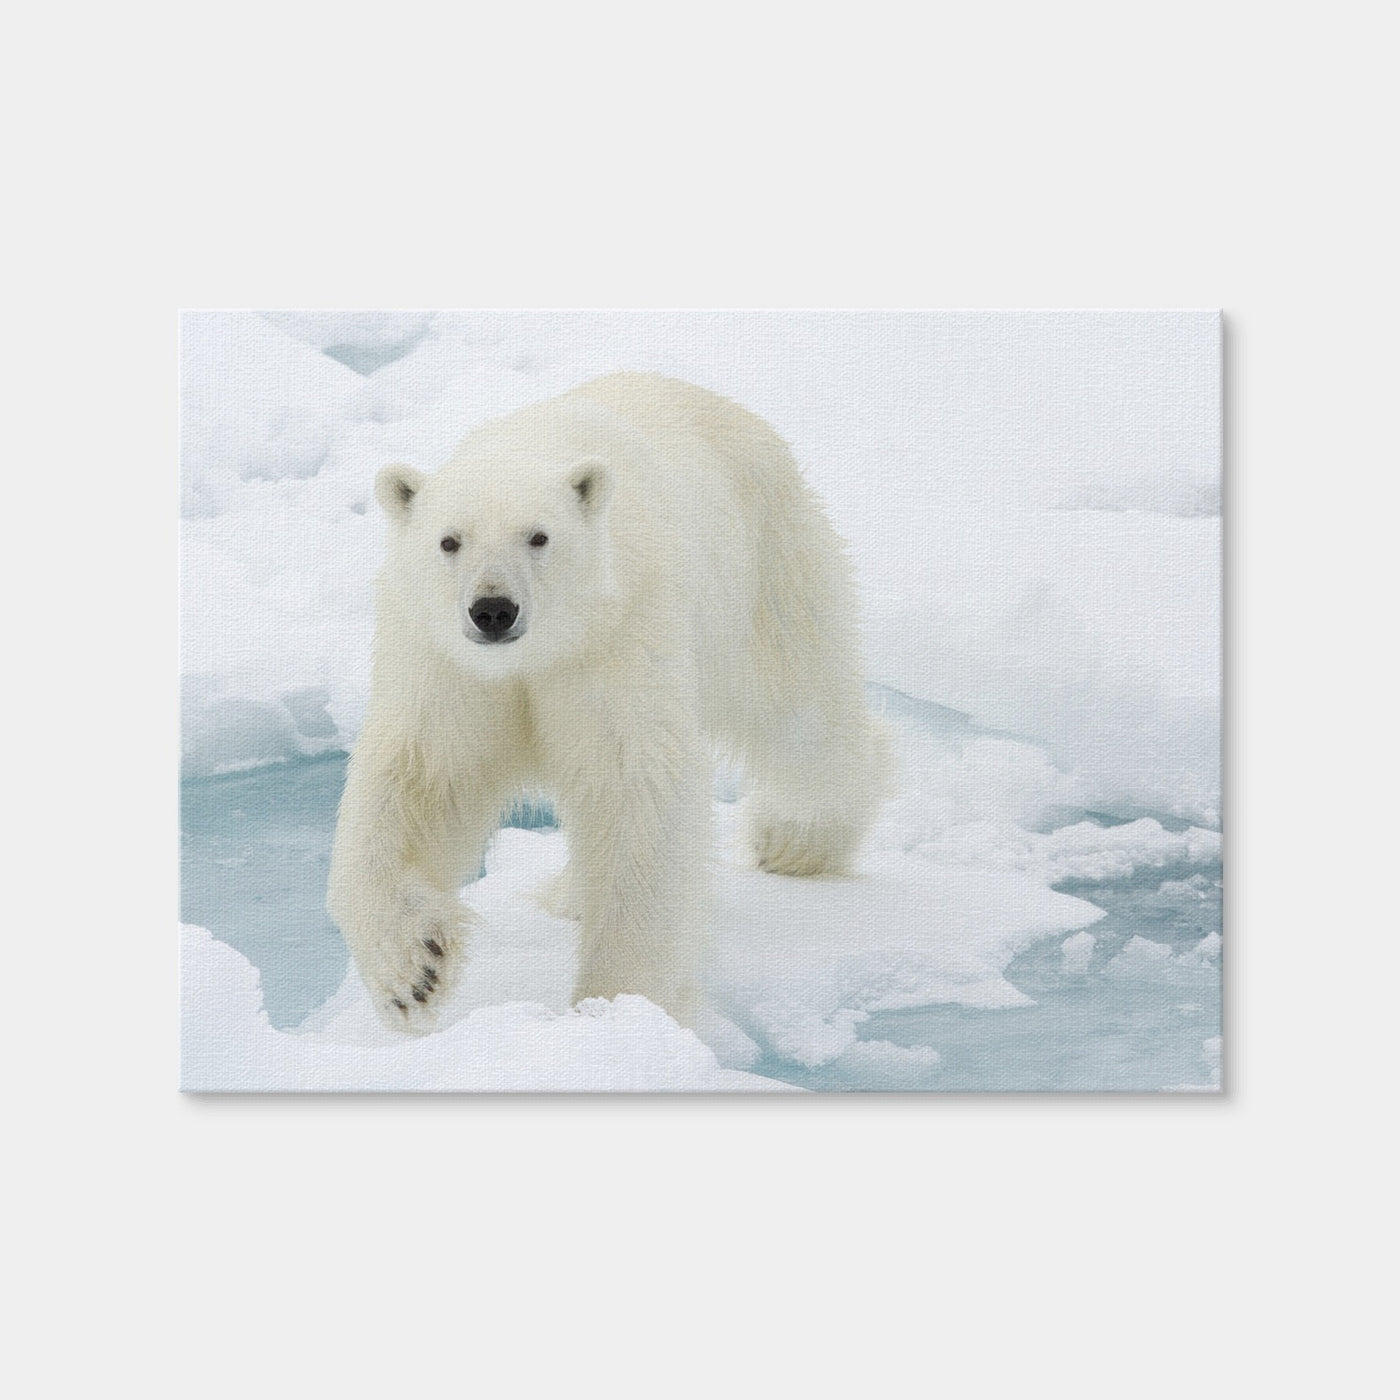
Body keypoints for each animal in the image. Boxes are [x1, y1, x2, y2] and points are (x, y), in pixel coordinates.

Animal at [327, 372, 888, 1032]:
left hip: (763, 569)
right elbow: (421, 778)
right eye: (449, 541)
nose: (493, 610)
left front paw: (617, 1003)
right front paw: (414, 971)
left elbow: (633, 789)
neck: (540, 652)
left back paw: (796, 841)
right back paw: (571, 891)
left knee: (797, 709)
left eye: (539, 536)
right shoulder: (447, 665)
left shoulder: (618, 638)